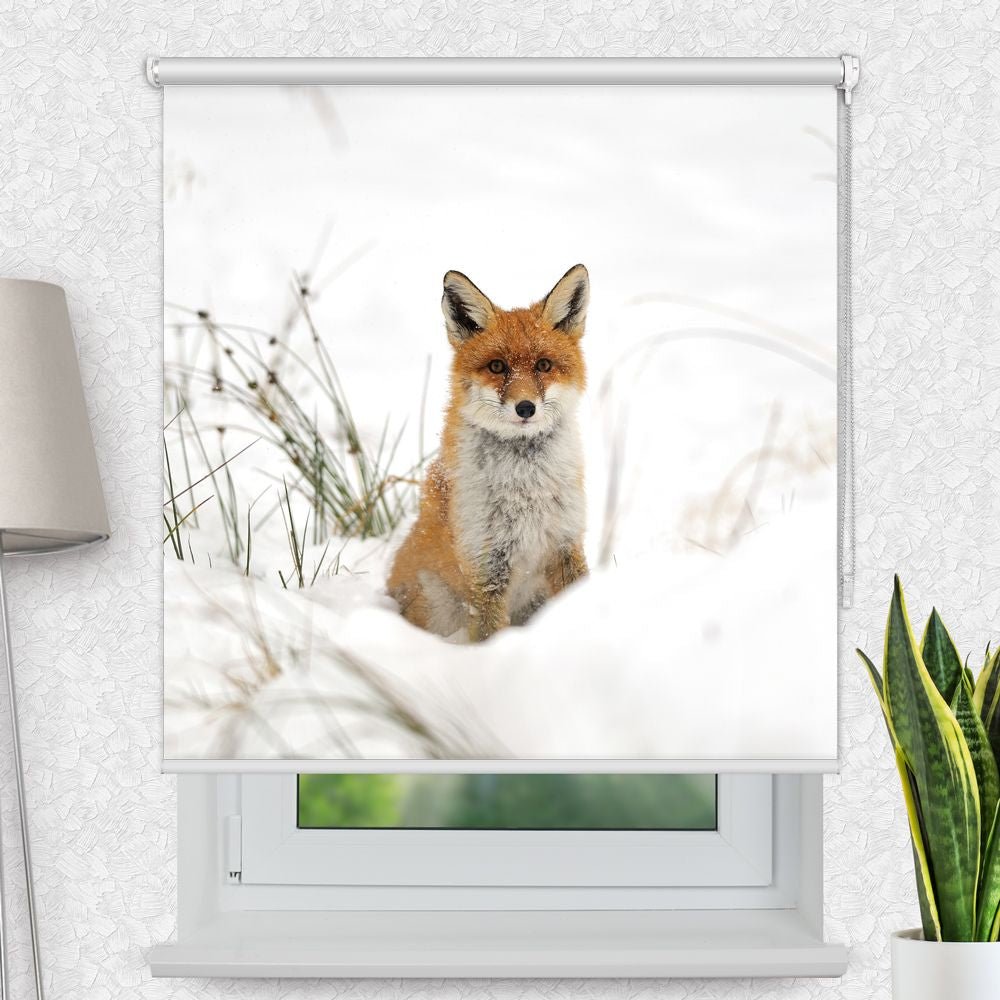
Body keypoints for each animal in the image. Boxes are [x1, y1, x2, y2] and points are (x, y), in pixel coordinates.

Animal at [387, 264, 590, 642]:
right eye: (497, 367)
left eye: (543, 365)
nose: (525, 408)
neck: (527, 489)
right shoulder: (486, 566)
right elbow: (488, 633)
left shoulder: (566, 542)